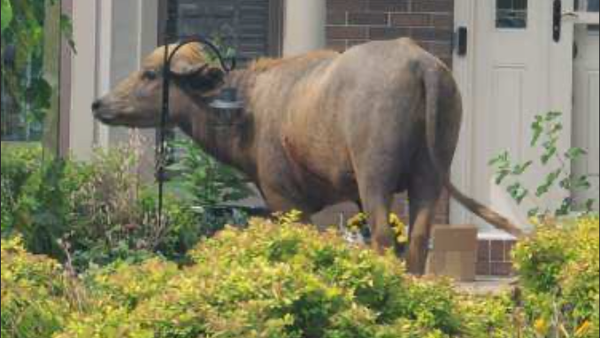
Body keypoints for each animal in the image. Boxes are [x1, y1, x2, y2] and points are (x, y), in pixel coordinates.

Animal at [91, 38, 524, 274]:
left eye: (149, 74)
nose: (99, 104)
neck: (248, 106)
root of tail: (421, 64)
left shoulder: (285, 200)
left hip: (375, 175)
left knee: (384, 236)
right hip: (429, 177)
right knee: (416, 239)